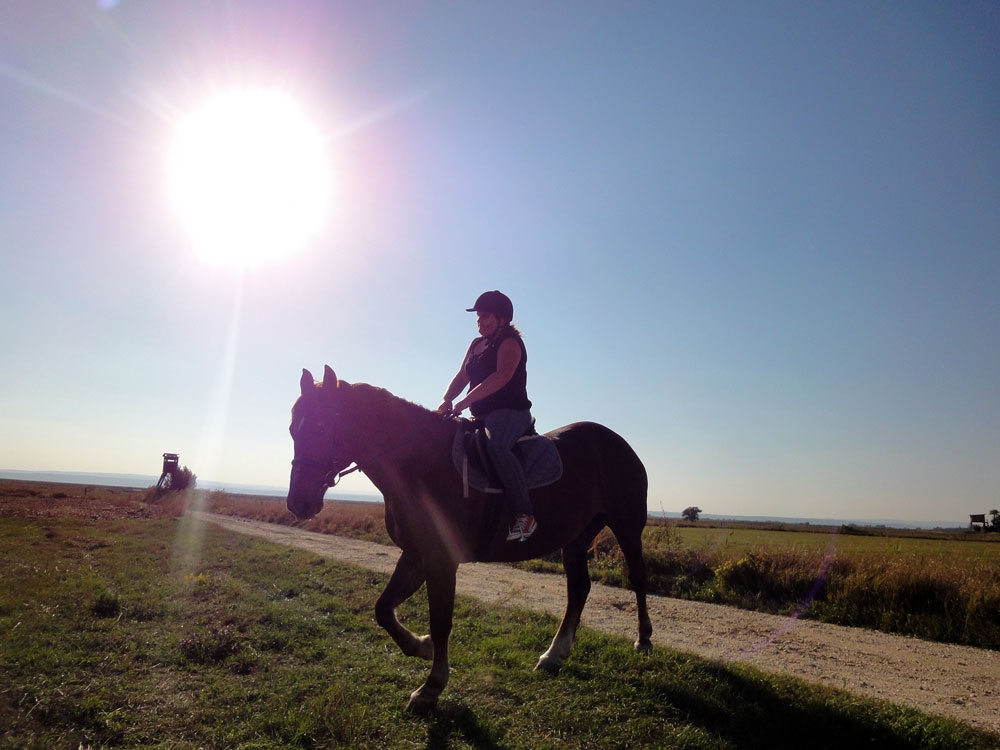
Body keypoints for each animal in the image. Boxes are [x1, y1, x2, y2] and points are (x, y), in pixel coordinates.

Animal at [286, 368, 652, 712]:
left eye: (322, 427)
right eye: (293, 429)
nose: (298, 502)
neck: (421, 464)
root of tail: (616, 442)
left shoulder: (441, 561)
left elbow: (440, 621)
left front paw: (430, 688)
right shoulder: (417, 554)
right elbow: (383, 609)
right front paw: (420, 646)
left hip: (627, 526)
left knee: (636, 578)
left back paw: (643, 641)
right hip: (575, 539)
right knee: (578, 589)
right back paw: (554, 655)